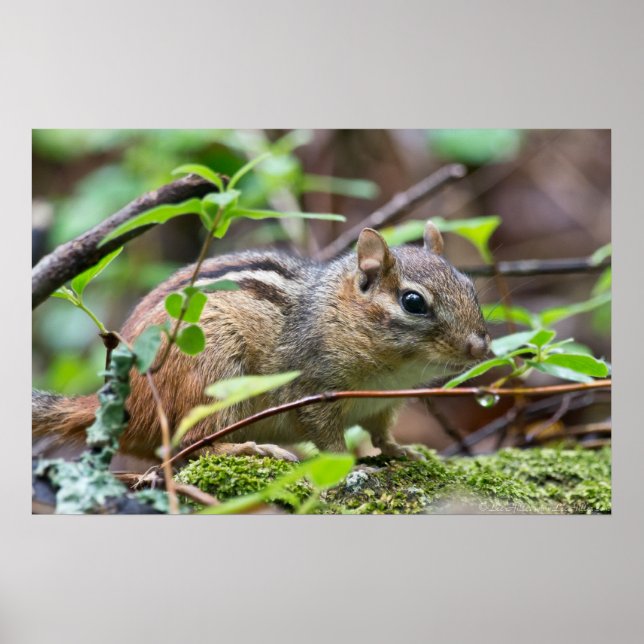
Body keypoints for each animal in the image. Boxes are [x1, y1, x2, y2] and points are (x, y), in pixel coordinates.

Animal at [32, 221, 490, 462]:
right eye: (413, 302)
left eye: (470, 286)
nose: (480, 348)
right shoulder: (313, 390)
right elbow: (328, 438)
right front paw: (348, 462)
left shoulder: (383, 405)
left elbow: (381, 434)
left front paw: (401, 450)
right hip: (213, 377)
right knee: (195, 444)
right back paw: (250, 448)